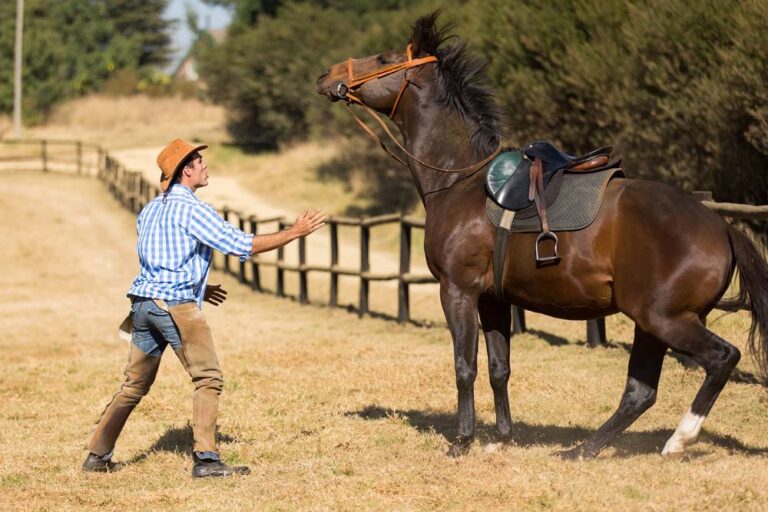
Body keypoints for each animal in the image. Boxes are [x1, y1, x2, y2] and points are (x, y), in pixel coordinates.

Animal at [315, 12, 768, 458]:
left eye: (381, 58)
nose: (326, 75)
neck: (460, 180)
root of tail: (720, 225)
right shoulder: (493, 300)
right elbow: (499, 369)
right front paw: (502, 436)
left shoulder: (458, 291)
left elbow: (465, 367)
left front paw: (463, 440)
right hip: (651, 324)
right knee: (640, 392)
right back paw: (582, 449)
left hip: (664, 319)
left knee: (721, 358)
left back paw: (677, 440)